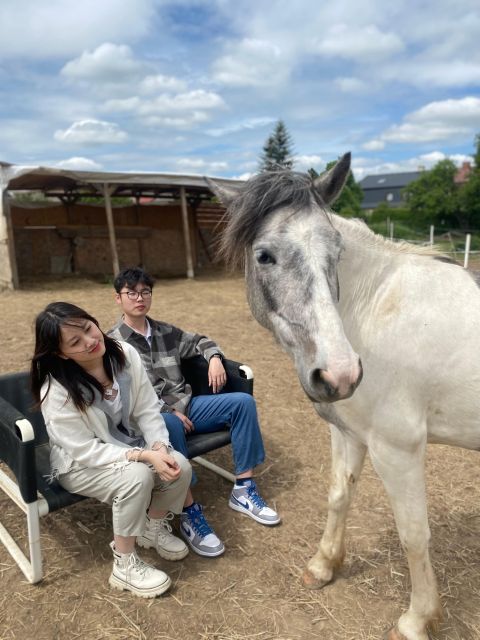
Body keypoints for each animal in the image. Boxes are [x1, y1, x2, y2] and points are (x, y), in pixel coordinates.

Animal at [208, 154, 480, 640]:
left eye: (336, 255)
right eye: (264, 255)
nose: (340, 373)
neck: (375, 310)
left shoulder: (398, 450)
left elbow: (414, 534)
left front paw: (417, 619)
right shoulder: (349, 433)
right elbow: (339, 496)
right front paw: (323, 566)